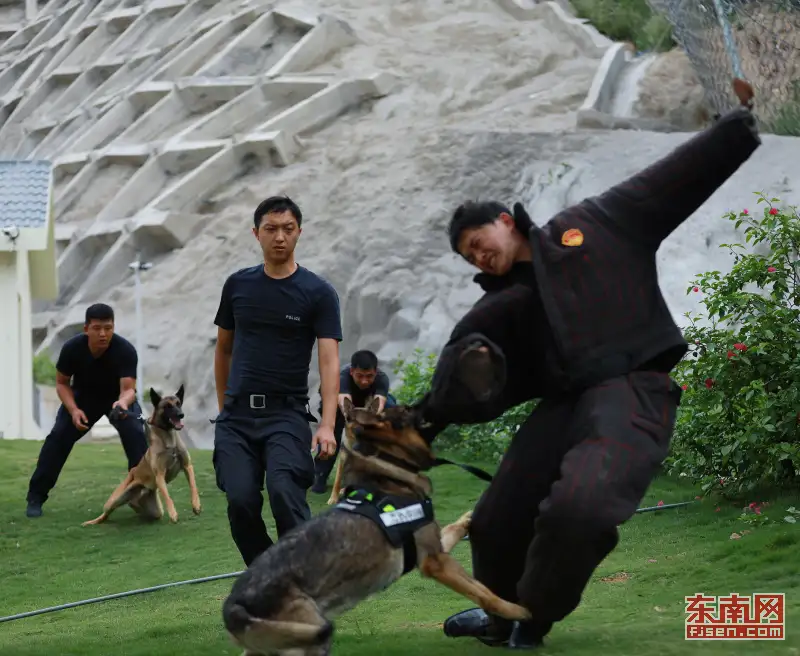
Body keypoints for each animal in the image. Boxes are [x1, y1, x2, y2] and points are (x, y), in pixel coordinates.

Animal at [81, 384, 202, 528]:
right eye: (167, 406)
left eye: (178, 404)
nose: (181, 414)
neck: (169, 439)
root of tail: (133, 472)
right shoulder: (160, 475)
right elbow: (168, 496)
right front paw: (173, 514)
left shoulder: (187, 466)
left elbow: (193, 486)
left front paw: (196, 505)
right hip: (115, 499)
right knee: (106, 512)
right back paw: (92, 521)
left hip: (152, 508)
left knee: (141, 508)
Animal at [220, 398, 532, 652]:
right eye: (406, 410)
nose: (433, 400)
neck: (390, 465)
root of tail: (233, 603)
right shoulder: (436, 563)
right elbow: (484, 593)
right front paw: (518, 611)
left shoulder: (430, 549)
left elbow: (452, 532)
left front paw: (466, 519)